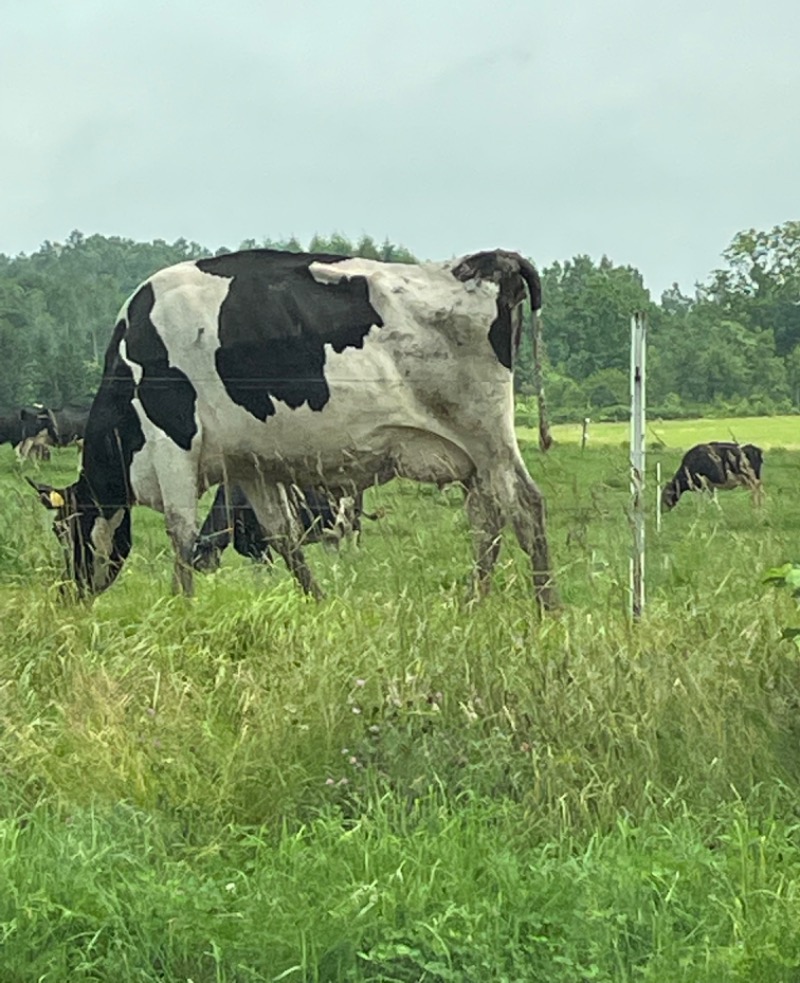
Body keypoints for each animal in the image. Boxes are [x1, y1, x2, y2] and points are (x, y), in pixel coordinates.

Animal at [194, 482, 382, 568]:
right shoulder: (251, 545)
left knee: (354, 540)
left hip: (350, 517)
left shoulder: (260, 543)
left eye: (200, 564)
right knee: (333, 550)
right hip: (330, 529)